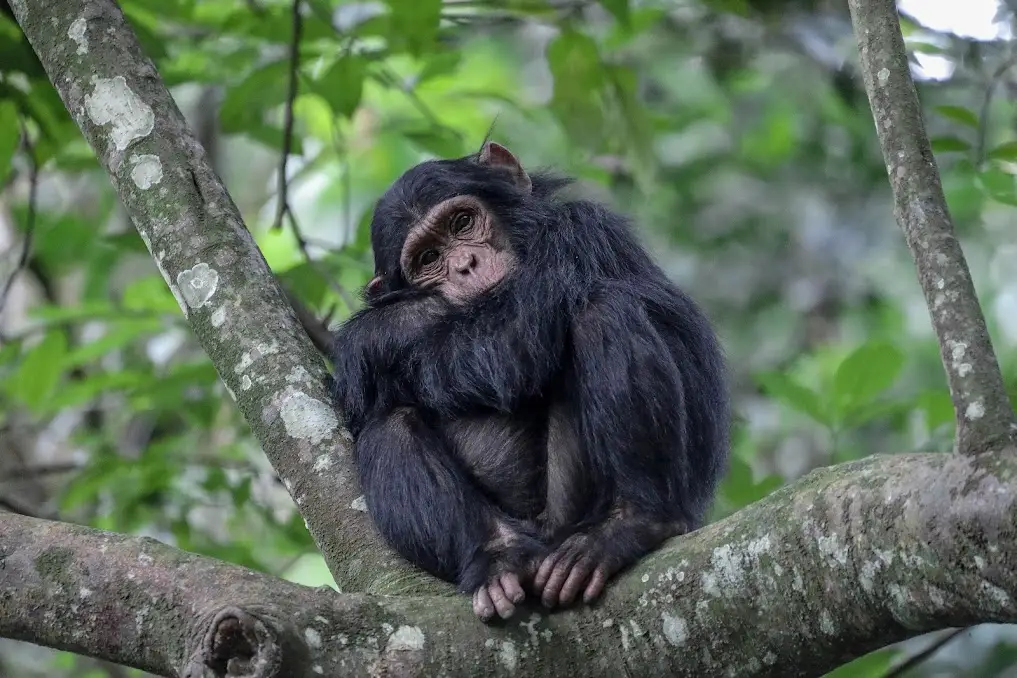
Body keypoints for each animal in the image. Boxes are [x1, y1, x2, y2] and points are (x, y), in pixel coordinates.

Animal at [330, 141, 729, 621]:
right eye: (428, 259)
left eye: (462, 223)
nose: (465, 265)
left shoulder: (576, 232)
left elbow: (511, 337)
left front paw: (387, 325)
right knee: (389, 426)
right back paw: (499, 560)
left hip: (572, 513)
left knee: (602, 312)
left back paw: (630, 524)